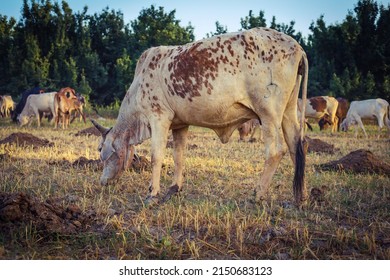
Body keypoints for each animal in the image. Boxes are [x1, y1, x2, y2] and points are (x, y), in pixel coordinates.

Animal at [91, 27, 308, 206]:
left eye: (100, 149)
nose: (102, 181)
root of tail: (297, 47)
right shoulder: (180, 124)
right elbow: (178, 156)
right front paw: (174, 188)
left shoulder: (158, 117)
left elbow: (156, 156)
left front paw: (152, 194)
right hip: (288, 112)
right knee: (295, 147)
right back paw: (300, 197)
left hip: (268, 113)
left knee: (276, 151)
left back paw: (257, 194)